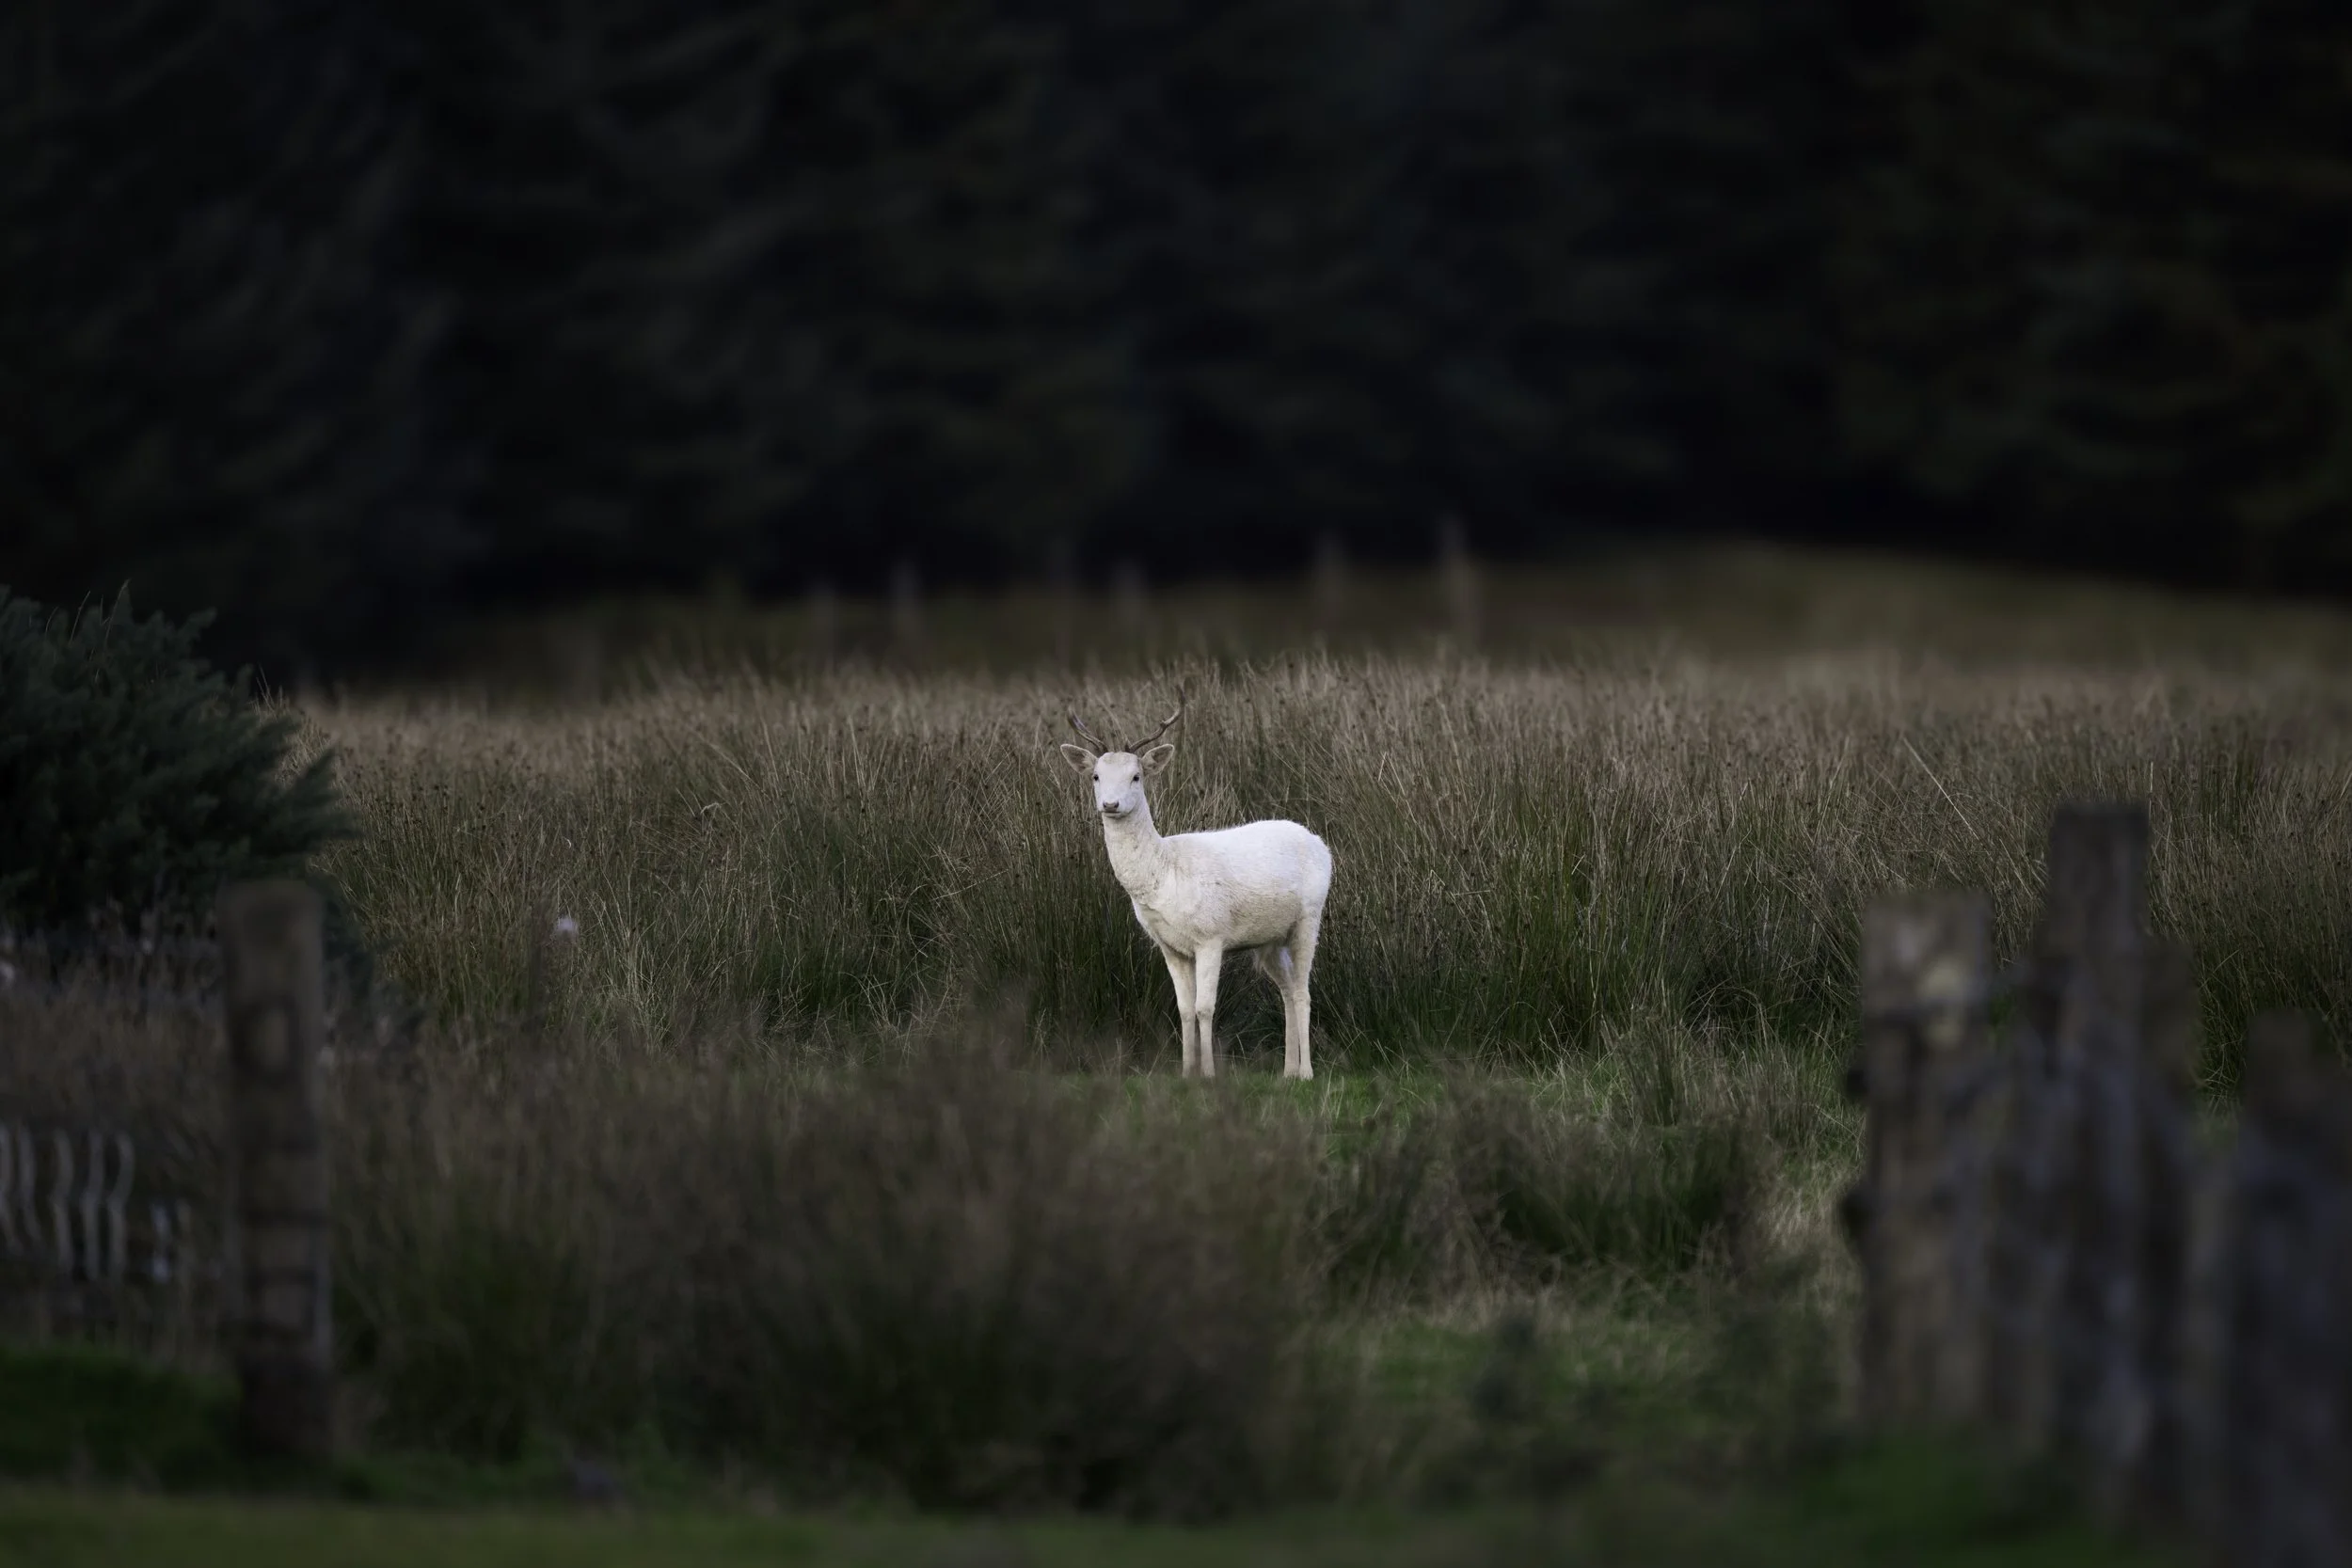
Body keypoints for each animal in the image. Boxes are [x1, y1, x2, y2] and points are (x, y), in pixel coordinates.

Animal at [1060, 689, 1334, 1079]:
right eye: (1096, 776)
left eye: (1136, 776)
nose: (1110, 804)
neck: (1165, 877)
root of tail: (1321, 844)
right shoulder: (1171, 947)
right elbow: (1184, 1009)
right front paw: (1186, 1072)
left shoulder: (1211, 935)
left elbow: (1206, 1007)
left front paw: (1209, 1073)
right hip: (1269, 939)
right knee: (1285, 990)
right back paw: (1287, 1072)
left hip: (1309, 918)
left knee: (1302, 992)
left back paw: (1307, 1072)